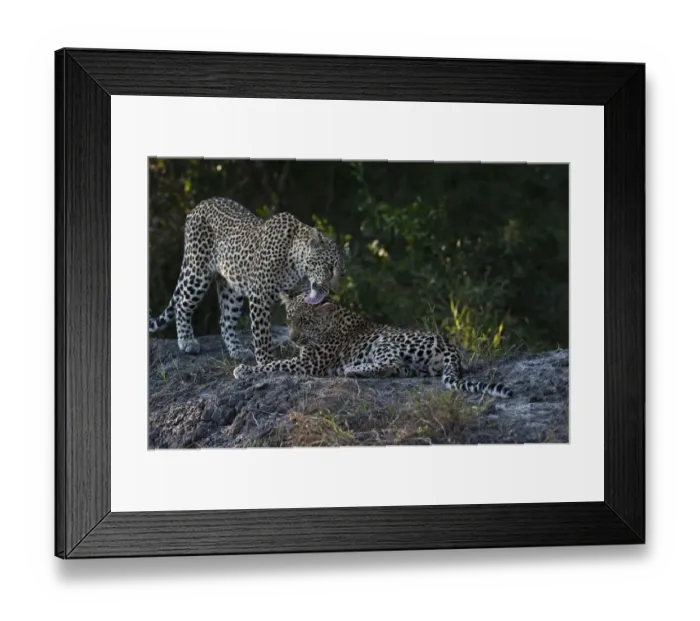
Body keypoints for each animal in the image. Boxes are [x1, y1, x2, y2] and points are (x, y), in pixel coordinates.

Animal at [149, 198, 345, 365]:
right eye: (329, 268)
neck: (297, 268)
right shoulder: (260, 295)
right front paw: (266, 362)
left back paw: (237, 350)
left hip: (231, 287)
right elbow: (262, 334)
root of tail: (199, 205)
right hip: (197, 272)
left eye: (341, 274)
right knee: (182, 304)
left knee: (225, 320)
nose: (332, 290)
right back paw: (187, 341)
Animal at [233, 292, 514, 398]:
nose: (292, 338)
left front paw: (243, 369)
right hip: (415, 365)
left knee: (389, 364)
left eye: (306, 322)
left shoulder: (309, 363)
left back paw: (351, 370)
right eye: (290, 320)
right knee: (397, 370)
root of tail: (451, 347)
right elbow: (275, 361)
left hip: (386, 341)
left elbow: (272, 364)